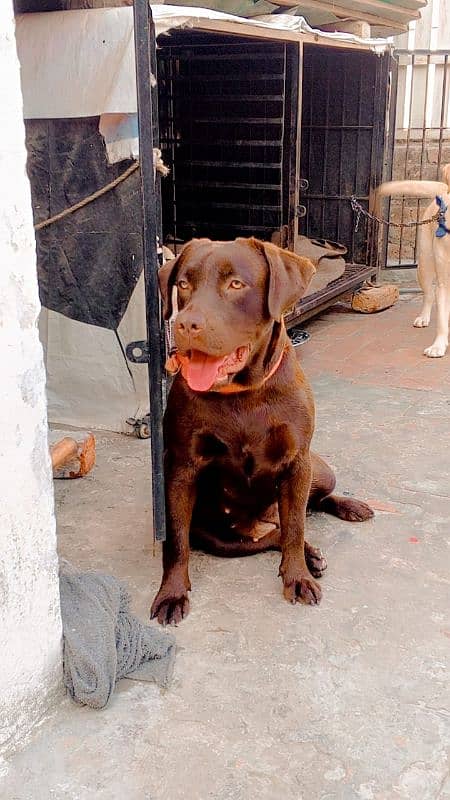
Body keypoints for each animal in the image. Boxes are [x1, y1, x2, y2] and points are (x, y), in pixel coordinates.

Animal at [376, 164, 450, 358]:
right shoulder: (444, 283)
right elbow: (442, 320)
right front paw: (438, 346)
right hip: (425, 264)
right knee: (429, 294)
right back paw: (424, 317)